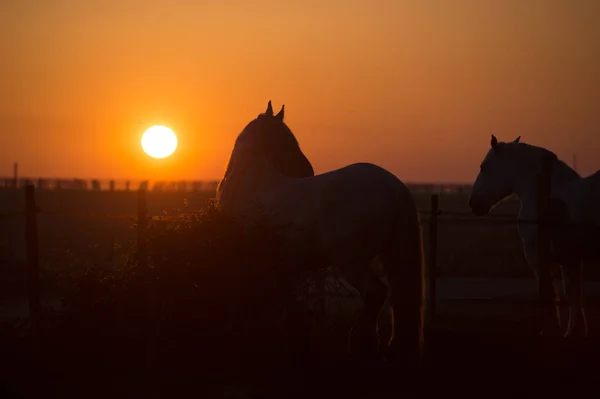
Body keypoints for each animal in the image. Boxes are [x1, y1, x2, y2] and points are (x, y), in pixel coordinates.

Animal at [216, 104, 426, 368]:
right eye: (285, 142)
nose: (307, 171)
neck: (248, 183)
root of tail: (392, 187)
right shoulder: (284, 268)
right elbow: (282, 304)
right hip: (391, 256)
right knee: (398, 299)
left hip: (352, 261)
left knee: (375, 293)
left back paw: (363, 345)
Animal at [468, 136, 600, 340]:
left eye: (484, 167)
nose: (473, 203)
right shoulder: (570, 259)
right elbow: (574, 295)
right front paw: (574, 333)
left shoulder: (539, 258)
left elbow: (549, 294)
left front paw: (551, 330)